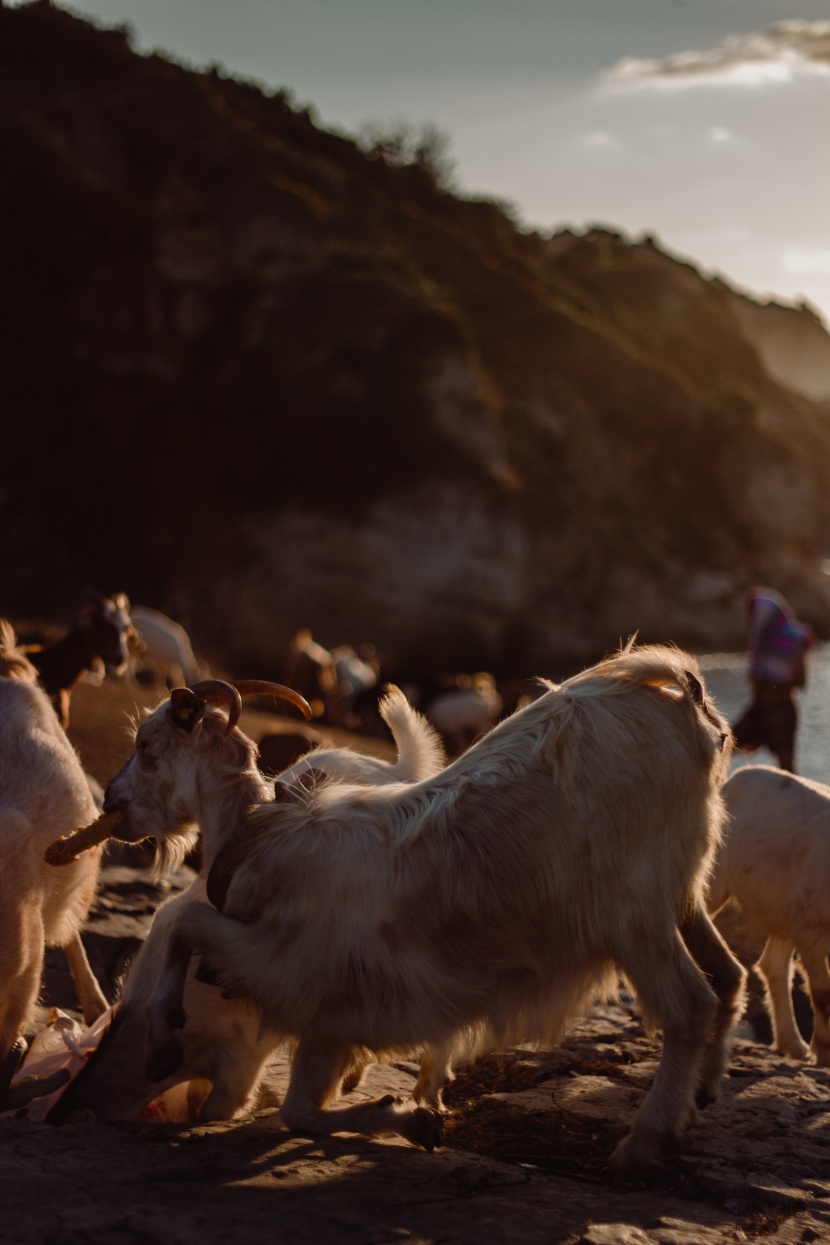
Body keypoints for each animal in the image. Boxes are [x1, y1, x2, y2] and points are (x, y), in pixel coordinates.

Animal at [55, 687, 447, 1125]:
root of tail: (398, 767)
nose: (108, 801)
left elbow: (215, 1109)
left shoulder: (241, 1058)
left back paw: (427, 1094)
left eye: (145, 745)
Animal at [105, 642, 746, 1175]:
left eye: (147, 747)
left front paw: (162, 1041)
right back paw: (701, 1097)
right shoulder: (331, 1017)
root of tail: (687, 704)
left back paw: (647, 1142)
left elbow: (183, 924)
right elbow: (301, 1113)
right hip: (679, 895)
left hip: (632, 914)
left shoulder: (287, 967)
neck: (260, 840)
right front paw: (410, 1118)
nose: (112, 801)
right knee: (729, 975)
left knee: (690, 1005)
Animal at [706, 761, 830, 1065]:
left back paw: (792, 1045)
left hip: (784, 912)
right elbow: (823, 993)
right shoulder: (811, 931)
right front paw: (824, 1053)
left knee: (773, 965)